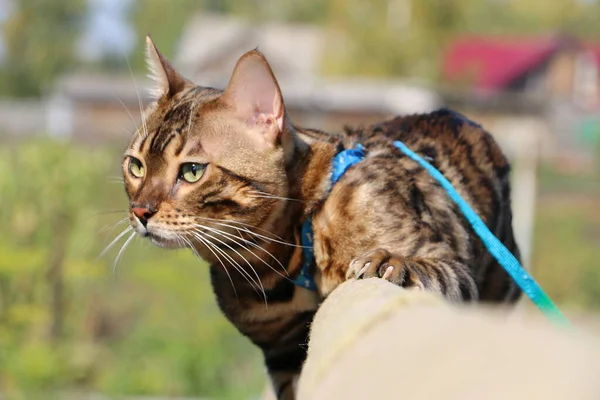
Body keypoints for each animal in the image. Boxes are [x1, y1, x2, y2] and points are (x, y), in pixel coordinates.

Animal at [124, 36, 524, 398]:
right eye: (135, 166)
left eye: (192, 171)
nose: (141, 210)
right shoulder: (284, 356)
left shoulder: (451, 267)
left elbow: (422, 267)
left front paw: (391, 263)